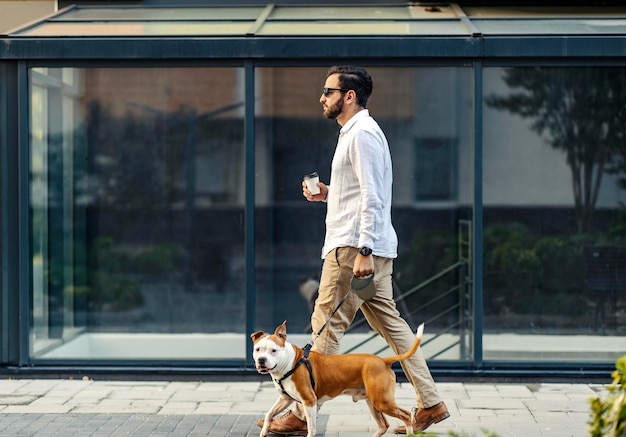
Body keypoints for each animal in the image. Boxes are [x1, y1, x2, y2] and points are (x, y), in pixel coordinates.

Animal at [250, 318, 424, 434]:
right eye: (258, 349)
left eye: (273, 350)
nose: (261, 360)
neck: (290, 363)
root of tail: (383, 360)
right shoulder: (285, 398)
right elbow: (269, 414)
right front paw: (264, 431)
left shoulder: (309, 401)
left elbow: (311, 428)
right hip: (373, 401)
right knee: (383, 425)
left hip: (382, 400)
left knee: (406, 415)